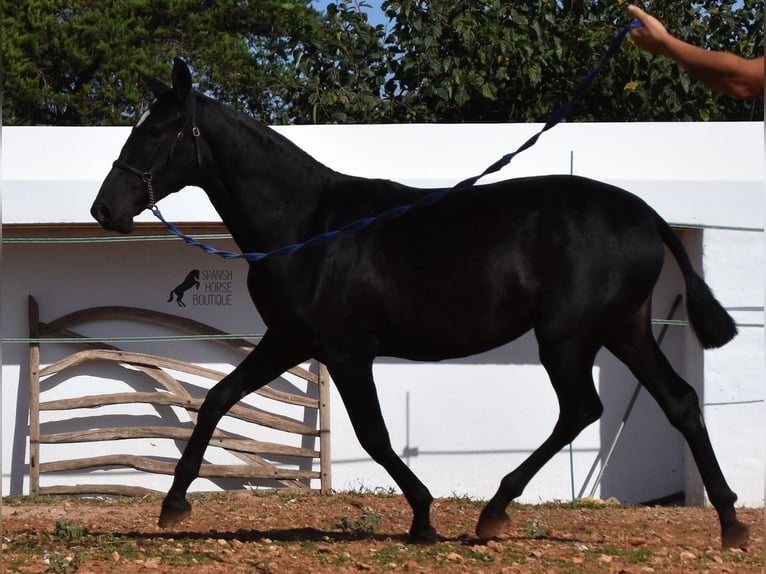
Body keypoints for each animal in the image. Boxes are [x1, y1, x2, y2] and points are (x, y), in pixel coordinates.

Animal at [90, 60, 752, 552]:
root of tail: (646, 215)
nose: (104, 209)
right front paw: (174, 504)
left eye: (157, 130)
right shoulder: (289, 340)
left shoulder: (346, 352)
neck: (308, 227)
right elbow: (217, 399)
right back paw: (731, 522)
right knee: (679, 402)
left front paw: (425, 517)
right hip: (625, 330)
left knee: (582, 409)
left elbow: (375, 435)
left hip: (567, 337)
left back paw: (494, 512)